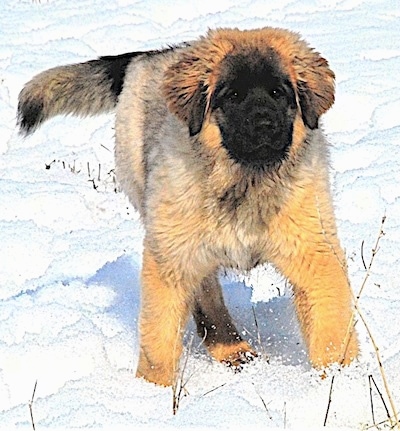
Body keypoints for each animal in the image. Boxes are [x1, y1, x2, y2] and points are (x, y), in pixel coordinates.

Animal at [17, 27, 358, 384]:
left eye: (278, 93)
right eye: (232, 96)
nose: (263, 124)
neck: (244, 181)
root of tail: (153, 55)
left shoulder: (314, 252)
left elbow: (331, 328)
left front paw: (340, 381)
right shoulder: (170, 256)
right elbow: (159, 334)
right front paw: (153, 389)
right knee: (207, 296)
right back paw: (231, 348)